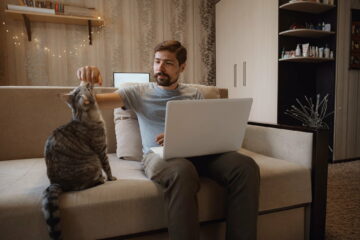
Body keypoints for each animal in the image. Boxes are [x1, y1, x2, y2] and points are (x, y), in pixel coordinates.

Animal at [41, 82, 116, 240]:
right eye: (87, 89)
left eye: (81, 86)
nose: (87, 82)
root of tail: (56, 183)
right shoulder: (101, 150)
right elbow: (107, 166)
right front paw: (111, 178)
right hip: (92, 164)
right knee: (82, 186)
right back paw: (100, 180)